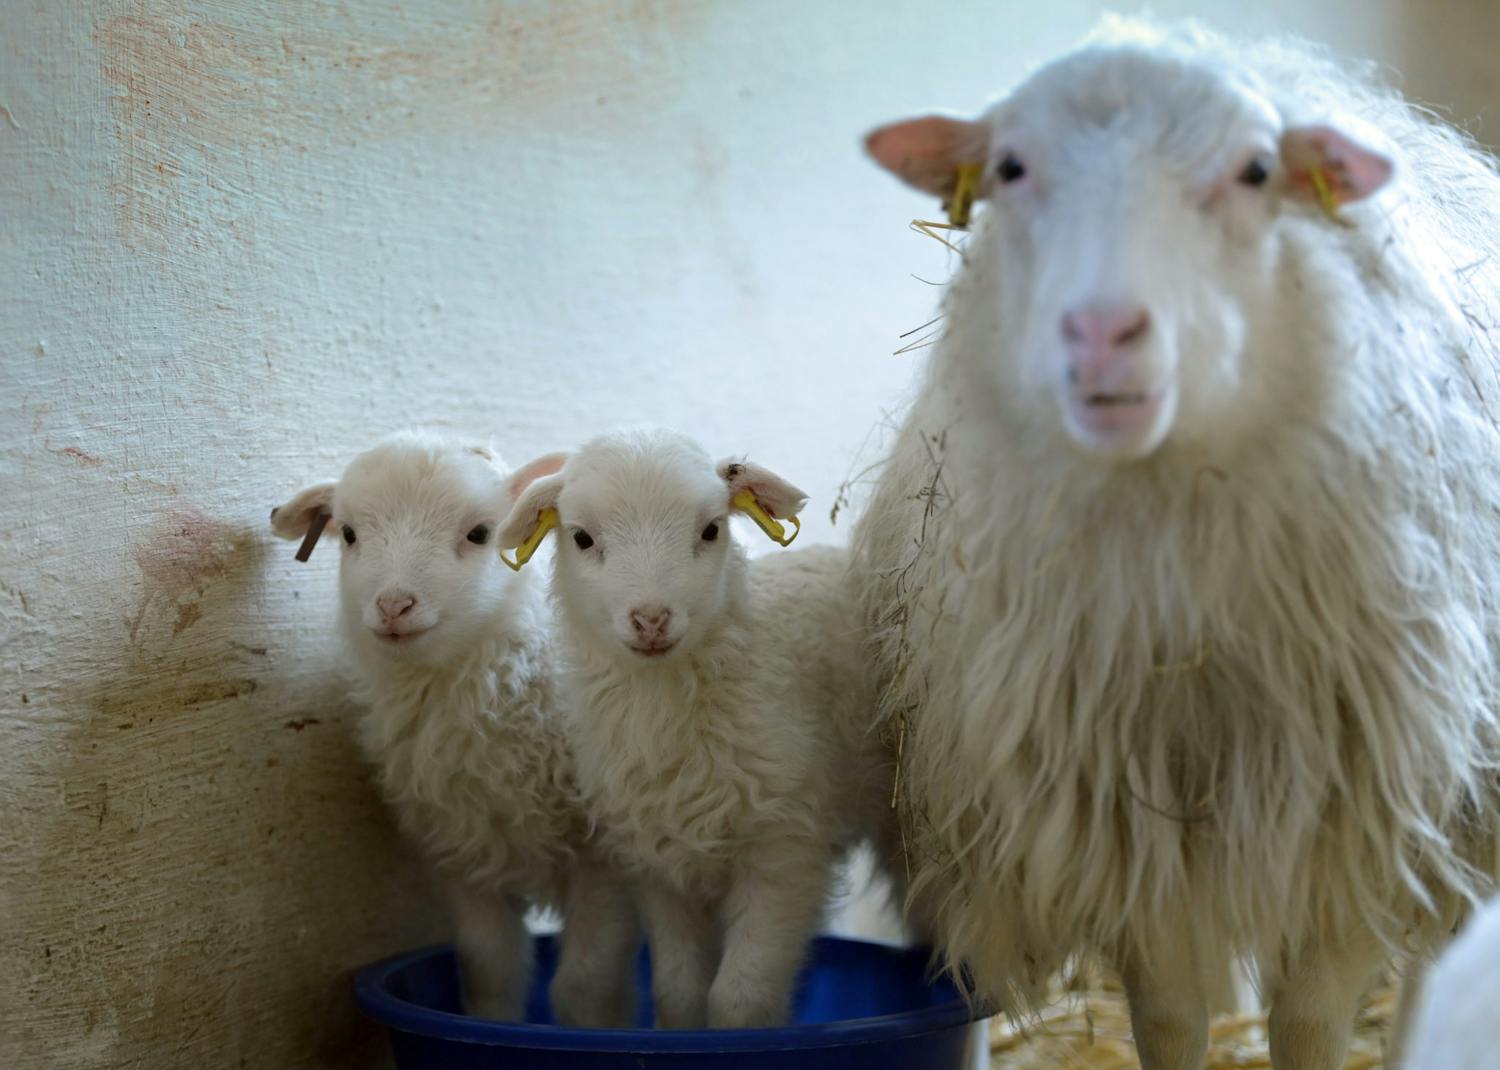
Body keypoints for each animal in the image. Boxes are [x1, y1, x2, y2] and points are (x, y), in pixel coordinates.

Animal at [270, 432, 638, 1028]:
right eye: (348, 534)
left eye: (479, 534)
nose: (394, 605)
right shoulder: (465, 853)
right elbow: (490, 970)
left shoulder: (603, 859)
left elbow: (584, 986)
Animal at [498, 429, 893, 1029]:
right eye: (582, 538)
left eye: (710, 530)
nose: (652, 619)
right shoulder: (660, 864)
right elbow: (678, 994)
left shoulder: (784, 848)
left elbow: (739, 1000)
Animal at [852, 17, 1500, 1069]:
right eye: (1011, 167)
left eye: (1257, 170)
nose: (1102, 333)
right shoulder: (1128, 820)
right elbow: (1168, 1016)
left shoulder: (1357, 823)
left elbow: (1310, 1021)